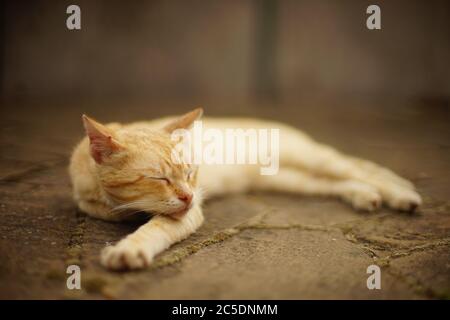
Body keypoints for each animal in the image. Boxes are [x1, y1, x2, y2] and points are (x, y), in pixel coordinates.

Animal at [68, 107, 420, 270]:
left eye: (191, 173)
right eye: (160, 179)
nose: (189, 195)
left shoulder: (189, 213)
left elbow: (154, 229)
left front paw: (128, 250)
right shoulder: (87, 201)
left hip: (314, 159)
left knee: (363, 168)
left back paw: (404, 195)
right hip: (293, 181)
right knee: (339, 182)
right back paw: (365, 196)